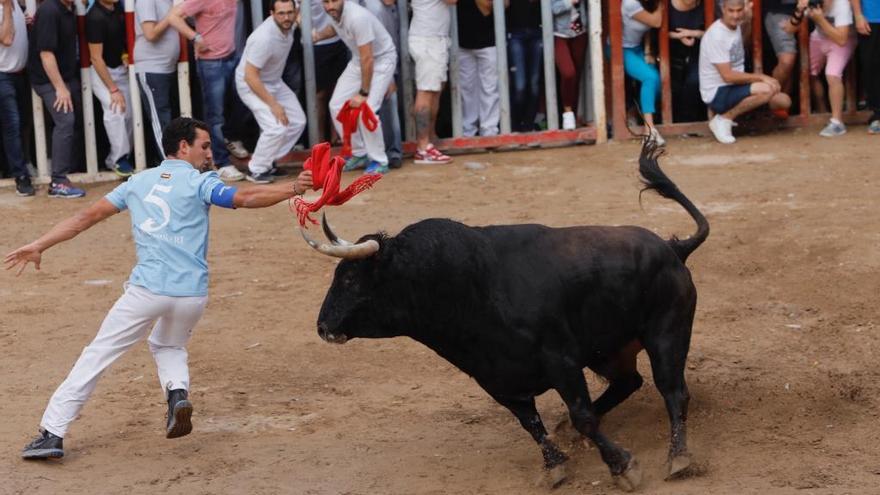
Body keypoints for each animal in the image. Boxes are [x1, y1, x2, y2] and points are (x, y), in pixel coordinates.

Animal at [306, 140, 712, 492]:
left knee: (673, 392)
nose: (323, 326)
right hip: (611, 350)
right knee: (629, 382)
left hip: (667, 333)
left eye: (350, 278)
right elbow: (530, 423)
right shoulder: (494, 376)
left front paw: (622, 467)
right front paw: (555, 466)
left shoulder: (561, 362)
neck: (465, 285)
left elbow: (583, 416)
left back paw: (679, 458)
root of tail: (672, 248)